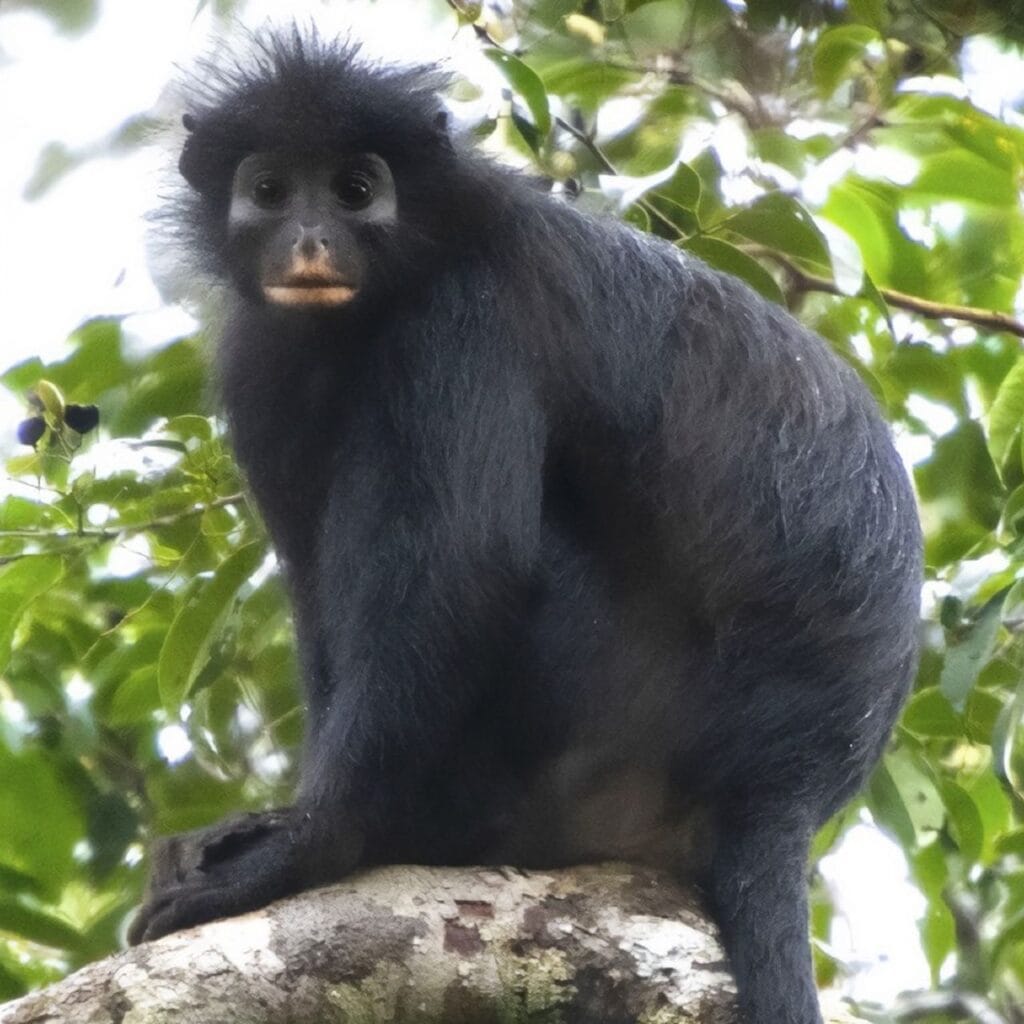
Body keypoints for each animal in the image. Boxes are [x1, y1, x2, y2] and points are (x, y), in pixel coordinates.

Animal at [129, 30, 922, 1024]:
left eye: (355, 189)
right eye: (271, 189)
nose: (311, 238)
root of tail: (788, 785)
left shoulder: (466, 314)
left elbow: (466, 568)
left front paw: (313, 845)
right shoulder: (261, 360)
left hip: (606, 717)